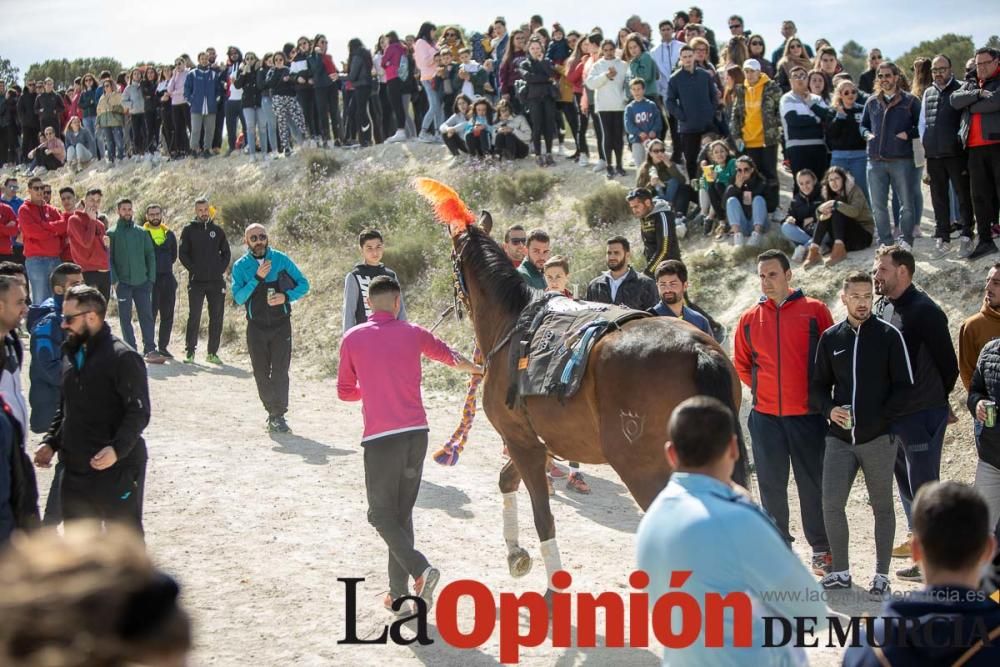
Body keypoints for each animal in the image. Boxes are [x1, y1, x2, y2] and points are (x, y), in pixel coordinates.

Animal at [410, 179, 748, 596]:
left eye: (451, 258)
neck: (513, 321)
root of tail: (698, 348)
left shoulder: (521, 442)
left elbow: (543, 516)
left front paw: (552, 592)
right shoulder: (531, 440)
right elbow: (506, 480)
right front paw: (515, 554)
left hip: (647, 471)